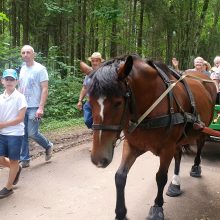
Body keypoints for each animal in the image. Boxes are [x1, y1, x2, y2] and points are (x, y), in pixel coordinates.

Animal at [87, 54, 217, 219]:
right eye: (90, 102)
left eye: (118, 103)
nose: (98, 159)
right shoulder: (133, 145)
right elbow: (120, 176)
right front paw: (120, 212)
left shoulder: (167, 148)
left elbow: (160, 177)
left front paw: (157, 207)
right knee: (178, 154)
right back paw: (176, 183)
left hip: (201, 129)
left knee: (200, 145)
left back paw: (195, 167)